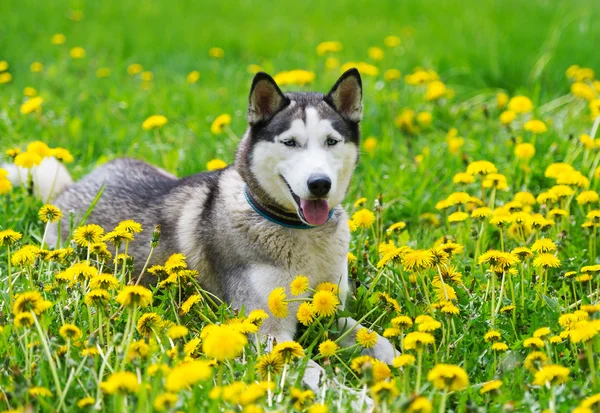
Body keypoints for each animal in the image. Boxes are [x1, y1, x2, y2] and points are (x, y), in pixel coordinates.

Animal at [45, 67, 394, 380]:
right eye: (290, 142)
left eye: (331, 141)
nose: (319, 184)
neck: (302, 234)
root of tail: (76, 185)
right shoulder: (267, 330)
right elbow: (316, 375)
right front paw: (358, 397)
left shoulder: (331, 308)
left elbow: (381, 343)